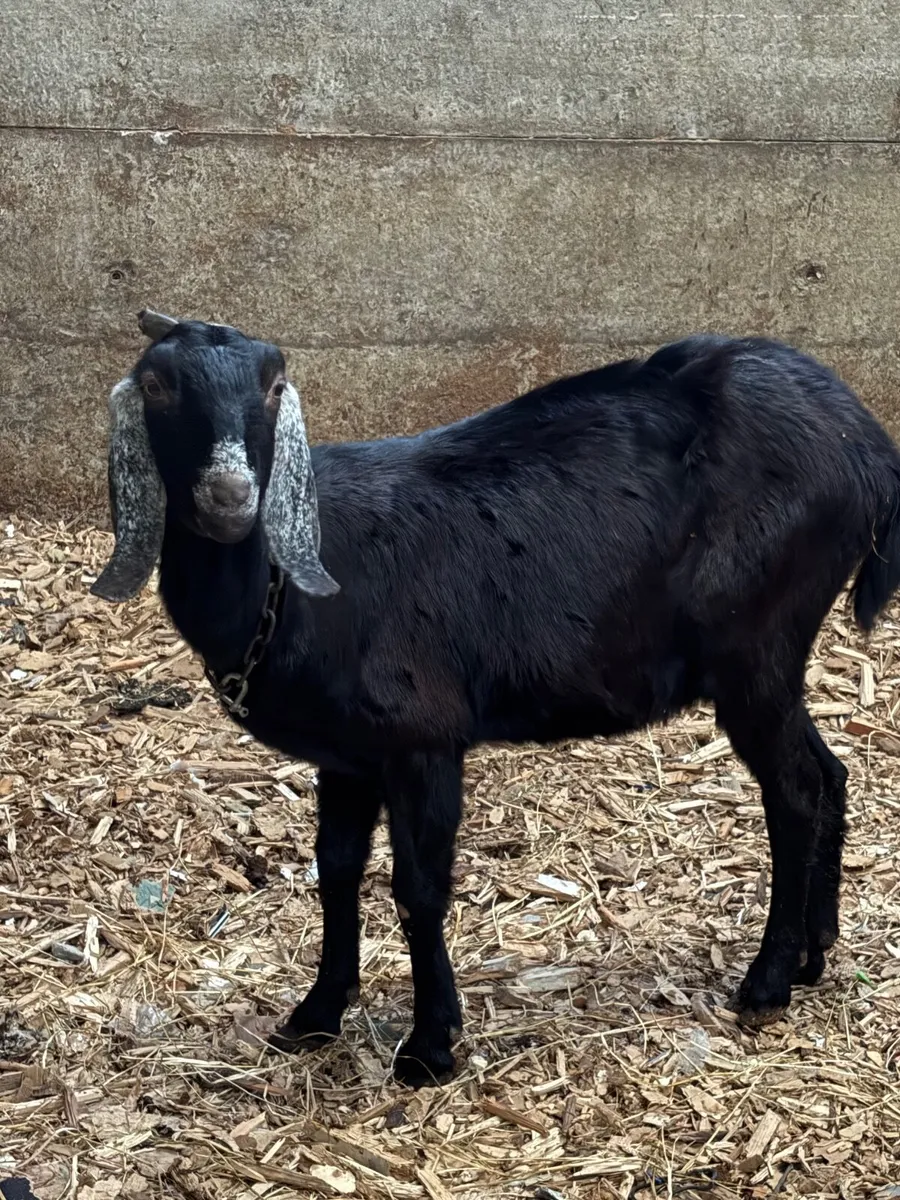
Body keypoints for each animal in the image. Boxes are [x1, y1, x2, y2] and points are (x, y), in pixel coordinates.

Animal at [90, 310, 900, 1087]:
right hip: (771, 662)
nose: (230, 499)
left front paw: (429, 1046)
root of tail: (868, 447)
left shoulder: (423, 739)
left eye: (271, 385)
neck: (286, 591)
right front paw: (317, 1014)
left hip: (756, 643)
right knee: (828, 773)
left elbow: (418, 889)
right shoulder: (347, 757)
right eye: (156, 384)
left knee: (794, 791)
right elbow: (336, 869)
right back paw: (815, 952)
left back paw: (767, 982)